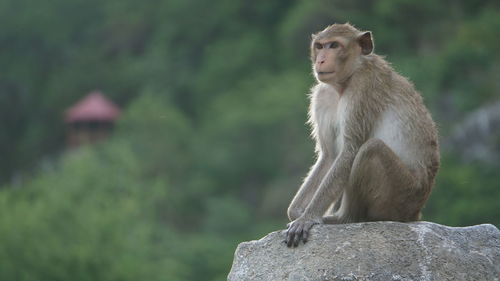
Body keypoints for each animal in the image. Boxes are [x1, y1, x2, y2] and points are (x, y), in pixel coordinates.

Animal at [286, 24, 438, 247]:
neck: (344, 82)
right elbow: (329, 156)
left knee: (371, 149)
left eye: (334, 45)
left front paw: (307, 217)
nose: (320, 60)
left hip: (403, 194)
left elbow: (350, 151)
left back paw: (345, 218)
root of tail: (415, 213)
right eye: (320, 46)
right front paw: (298, 211)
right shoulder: (322, 96)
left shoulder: (363, 86)